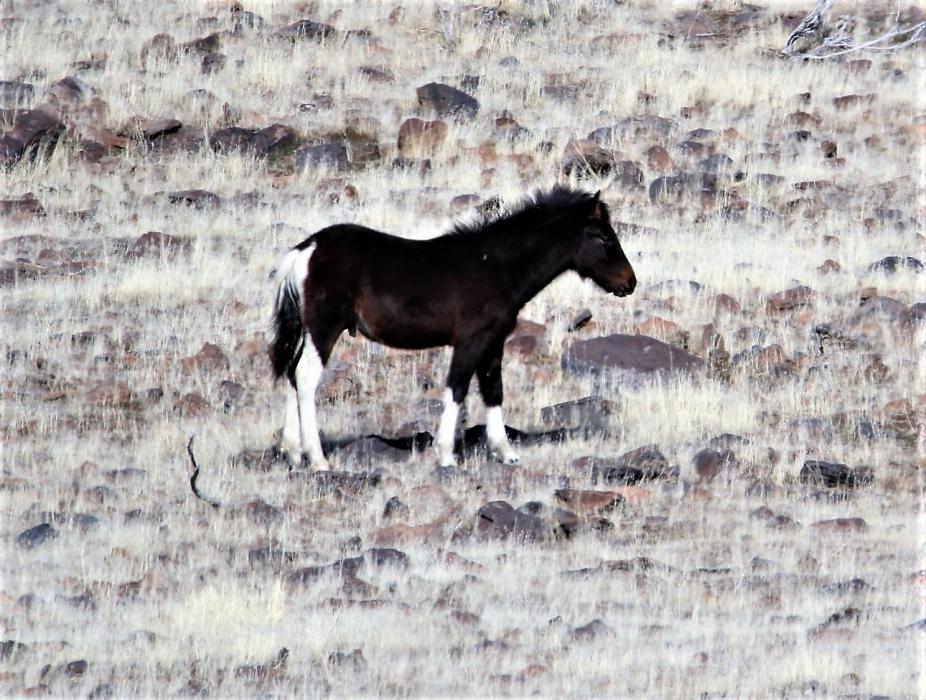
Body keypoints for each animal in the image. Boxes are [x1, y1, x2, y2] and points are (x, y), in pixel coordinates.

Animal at [270, 186, 637, 470]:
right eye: (602, 237)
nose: (629, 282)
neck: (498, 267)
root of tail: (307, 248)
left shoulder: (493, 342)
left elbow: (493, 390)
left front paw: (505, 453)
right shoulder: (470, 340)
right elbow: (457, 387)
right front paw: (446, 455)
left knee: (291, 374)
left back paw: (293, 452)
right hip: (324, 329)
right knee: (305, 376)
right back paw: (318, 459)